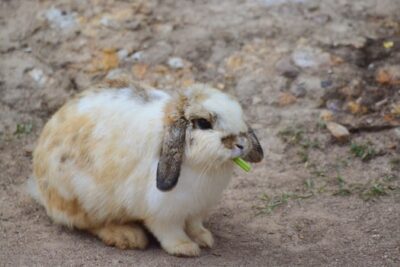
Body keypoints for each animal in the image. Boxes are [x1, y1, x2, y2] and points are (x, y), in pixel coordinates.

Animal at [29, 79, 264, 258]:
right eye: (204, 123)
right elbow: (170, 233)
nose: (241, 144)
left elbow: (195, 225)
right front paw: (186, 248)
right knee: (88, 224)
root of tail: (41, 188)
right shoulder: (164, 212)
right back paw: (128, 236)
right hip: (85, 199)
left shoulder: (197, 208)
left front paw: (205, 239)